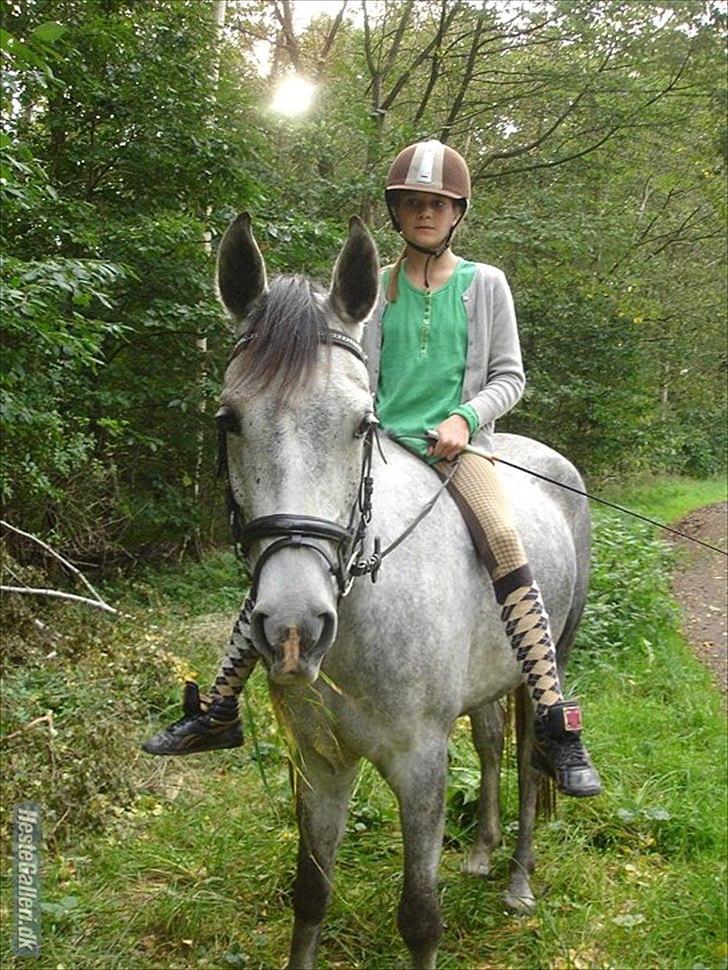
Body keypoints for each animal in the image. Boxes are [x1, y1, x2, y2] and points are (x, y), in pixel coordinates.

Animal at [216, 214, 592, 968]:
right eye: (230, 419)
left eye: (361, 423)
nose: (295, 628)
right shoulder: (321, 762)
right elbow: (311, 895)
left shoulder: (419, 765)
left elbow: (420, 917)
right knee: (491, 741)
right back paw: (482, 853)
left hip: (552, 657)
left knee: (533, 754)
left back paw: (518, 880)